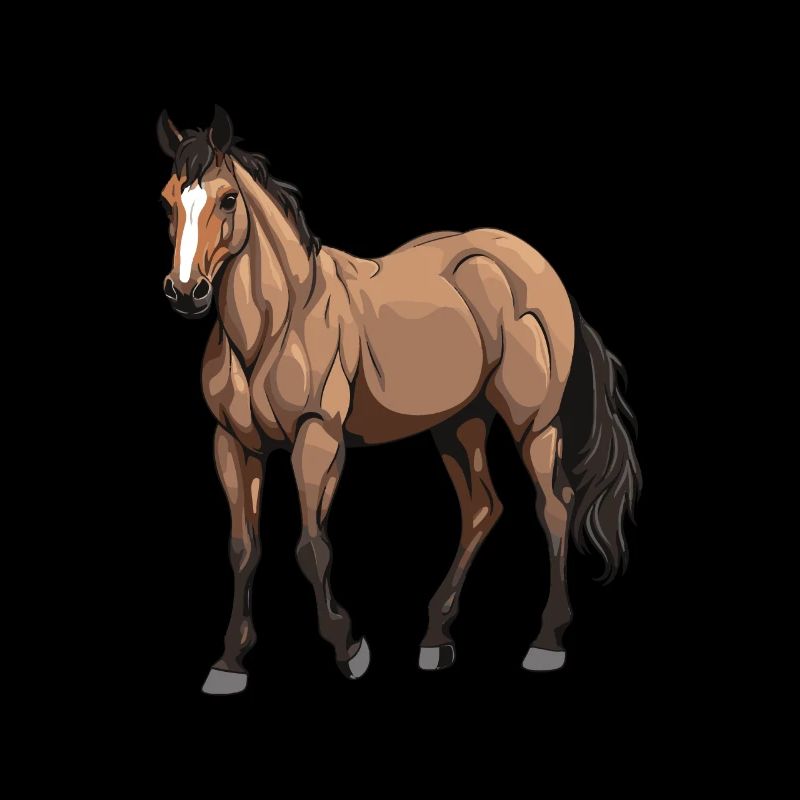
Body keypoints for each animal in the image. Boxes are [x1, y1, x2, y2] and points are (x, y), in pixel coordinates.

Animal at [156, 106, 641, 694]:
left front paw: (349, 649)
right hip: (459, 423)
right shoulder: (234, 444)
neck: (277, 323)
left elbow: (311, 546)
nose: (186, 293)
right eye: (167, 199)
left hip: (536, 427)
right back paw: (436, 639)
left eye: (228, 199)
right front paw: (229, 663)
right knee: (482, 507)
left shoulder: (318, 438)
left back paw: (546, 643)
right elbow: (243, 548)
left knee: (553, 506)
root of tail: (540, 270)